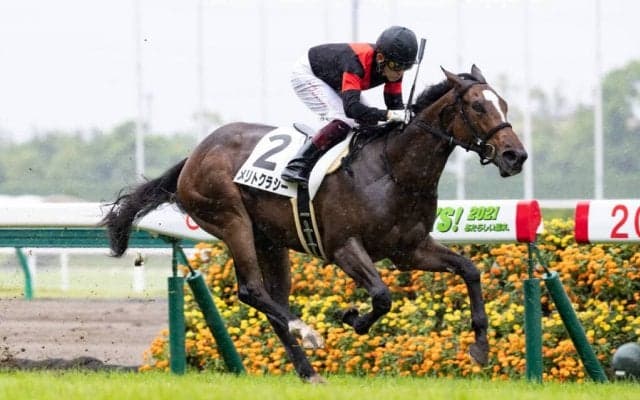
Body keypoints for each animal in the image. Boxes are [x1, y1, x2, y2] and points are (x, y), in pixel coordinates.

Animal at [102, 65, 527, 383]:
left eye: (505, 104)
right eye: (477, 106)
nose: (515, 156)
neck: (393, 170)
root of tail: (193, 156)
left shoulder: (409, 249)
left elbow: (469, 270)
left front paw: (480, 347)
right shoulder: (343, 247)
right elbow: (382, 296)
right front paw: (353, 318)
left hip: (270, 241)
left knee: (273, 302)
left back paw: (309, 371)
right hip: (231, 221)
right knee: (252, 290)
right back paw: (307, 333)